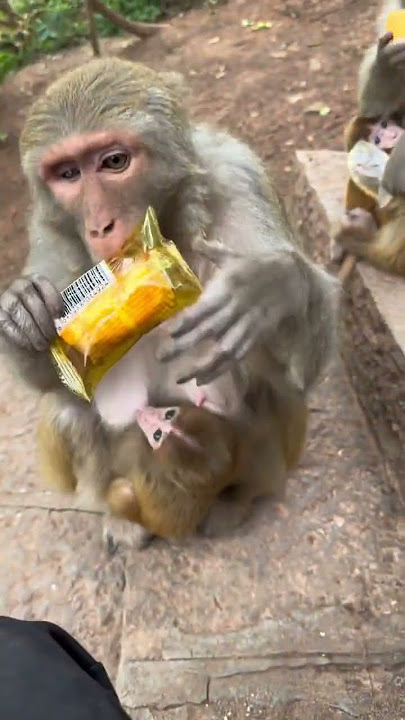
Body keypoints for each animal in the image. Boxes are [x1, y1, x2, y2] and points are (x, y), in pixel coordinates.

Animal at [0, 57, 337, 542]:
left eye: (114, 162)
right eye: (67, 174)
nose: (99, 226)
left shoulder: (239, 176)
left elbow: (300, 371)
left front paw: (273, 285)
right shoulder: (48, 229)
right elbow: (62, 379)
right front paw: (22, 312)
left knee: (273, 386)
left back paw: (238, 499)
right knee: (67, 411)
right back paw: (123, 517)